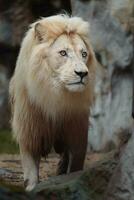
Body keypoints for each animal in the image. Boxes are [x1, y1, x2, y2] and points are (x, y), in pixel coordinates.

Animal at [9, 14, 96, 191]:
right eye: (63, 53)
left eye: (84, 54)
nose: (82, 74)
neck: (55, 96)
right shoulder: (30, 132)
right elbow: (30, 173)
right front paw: (31, 188)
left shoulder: (77, 134)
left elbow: (75, 166)